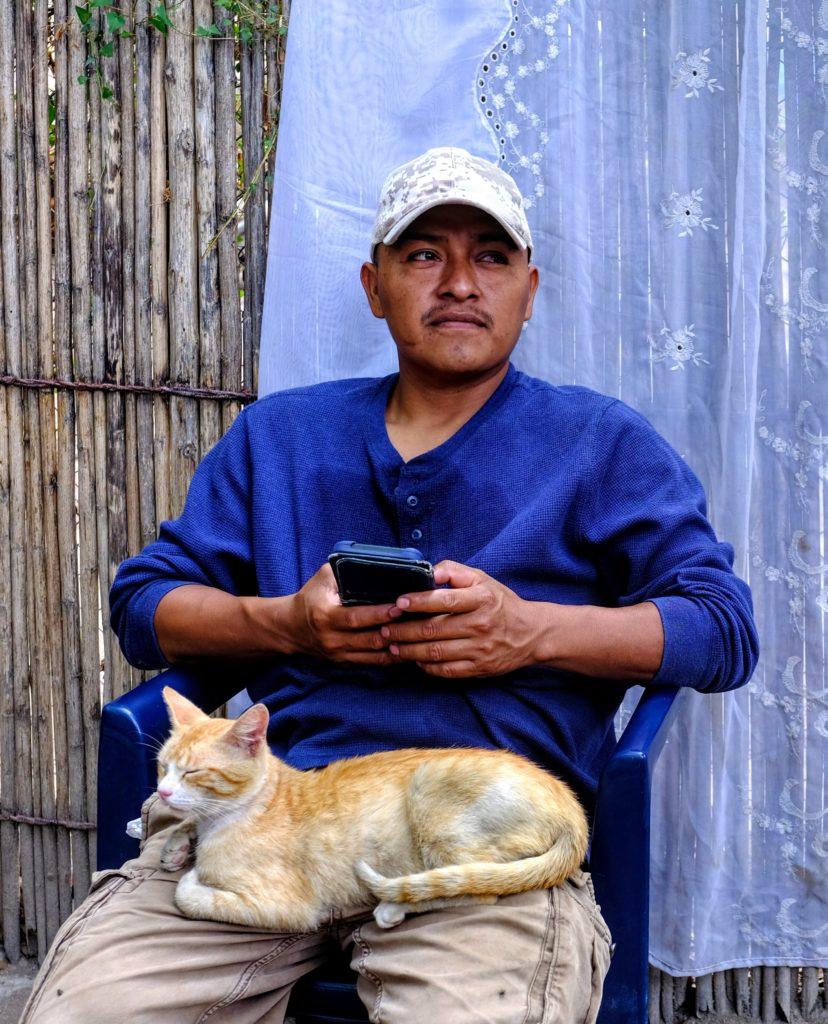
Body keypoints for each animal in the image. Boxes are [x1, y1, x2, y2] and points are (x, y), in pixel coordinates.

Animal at [155, 684, 589, 933]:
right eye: (162, 766)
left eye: (193, 772)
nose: (161, 792)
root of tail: (571, 807)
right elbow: (187, 824)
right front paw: (177, 843)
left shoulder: (287, 908)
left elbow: (187, 897)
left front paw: (191, 876)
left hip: (429, 791)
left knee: (477, 889)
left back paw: (393, 907)